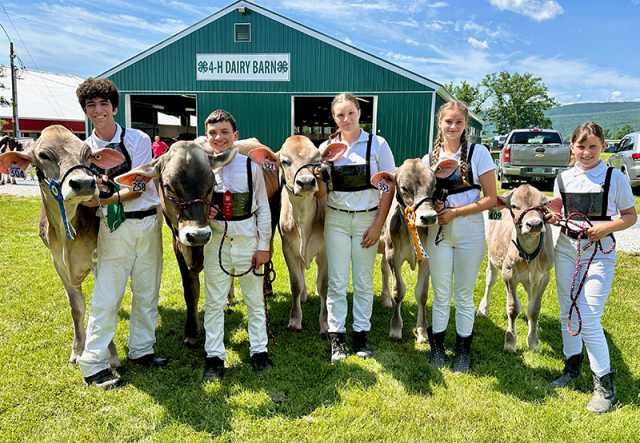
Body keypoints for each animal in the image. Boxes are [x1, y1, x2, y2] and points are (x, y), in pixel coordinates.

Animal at [0, 125, 125, 364]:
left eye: (88, 154)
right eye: (43, 155)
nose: (84, 183)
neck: (66, 235)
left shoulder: (99, 258)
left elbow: (101, 304)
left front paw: (111, 354)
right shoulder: (58, 263)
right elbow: (76, 307)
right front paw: (77, 350)